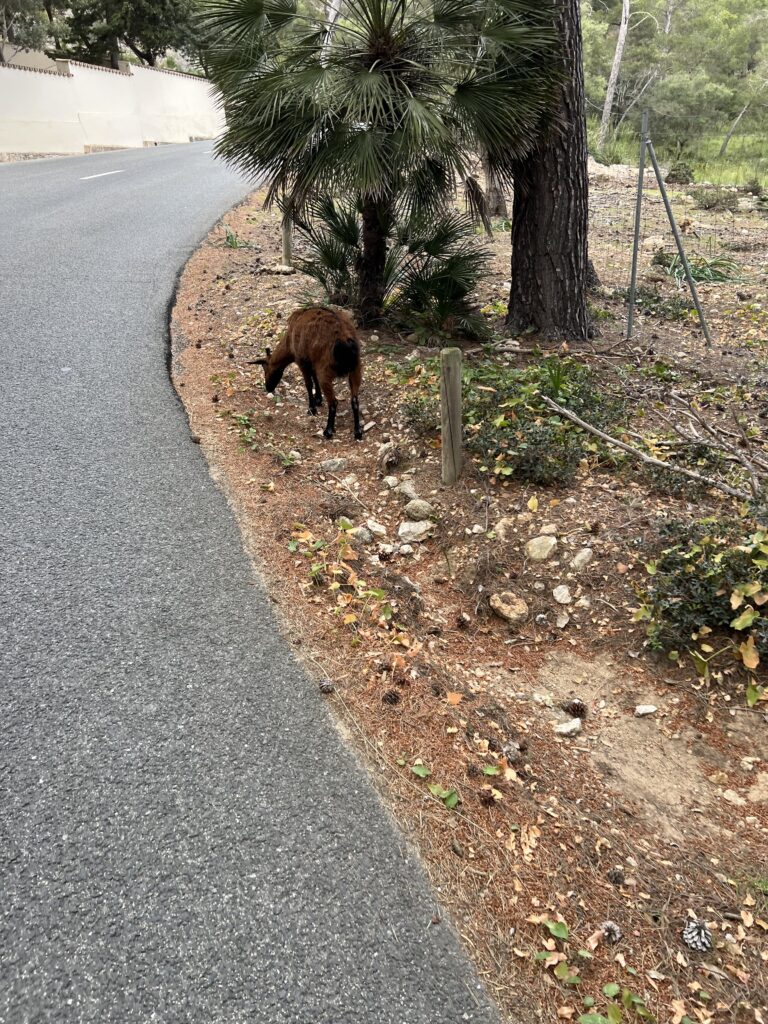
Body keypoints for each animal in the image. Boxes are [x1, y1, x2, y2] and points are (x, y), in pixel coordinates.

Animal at [250, 307, 363, 440]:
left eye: (266, 369)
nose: (268, 387)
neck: (289, 341)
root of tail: (345, 341)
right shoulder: (312, 361)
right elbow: (314, 379)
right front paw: (318, 399)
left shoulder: (302, 361)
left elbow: (309, 384)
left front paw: (312, 408)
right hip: (356, 368)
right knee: (354, 400)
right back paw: (357, 432)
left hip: (326, 370)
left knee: (333, 402)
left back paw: (328, 431)